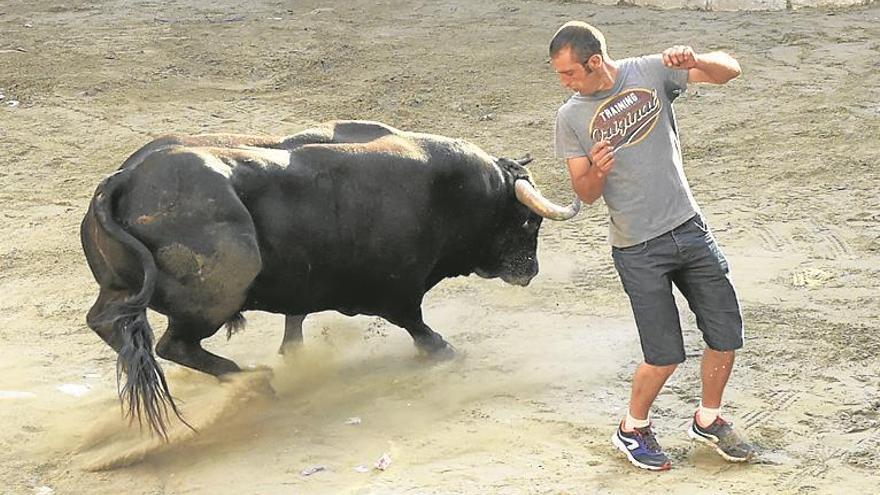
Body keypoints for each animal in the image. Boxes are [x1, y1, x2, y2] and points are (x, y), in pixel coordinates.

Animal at [81, 120, 576, 438]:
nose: (529, 271)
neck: (448, 190)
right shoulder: (397, 289)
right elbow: (414, 322)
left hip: (122, 291)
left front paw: (294, 353)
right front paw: (443, 350)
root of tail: (123, 179)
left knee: (110, 323)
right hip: (221, 289)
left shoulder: (304, 282)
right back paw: (256, 381)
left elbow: (295, 321)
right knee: (173, 344)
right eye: (528, 222)